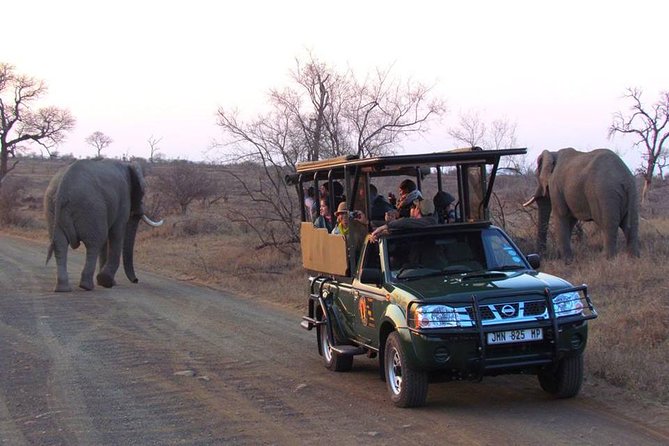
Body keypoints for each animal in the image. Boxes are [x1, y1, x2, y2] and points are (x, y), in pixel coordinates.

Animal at [44, 160, 163, 292]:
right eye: (143, 192)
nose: (136, 280)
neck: (127, 165)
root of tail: (63, 188)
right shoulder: (123, 199)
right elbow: (116, 233)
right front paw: (106, 281)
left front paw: (107, 282)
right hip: (92, 207)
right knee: (94, 244)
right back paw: (86, 286)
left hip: (52, 207)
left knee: (60, 244)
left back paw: (63, 289)